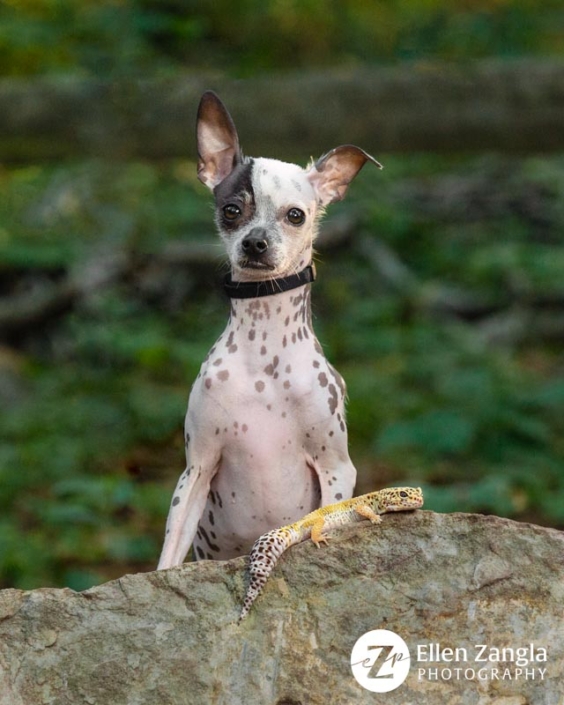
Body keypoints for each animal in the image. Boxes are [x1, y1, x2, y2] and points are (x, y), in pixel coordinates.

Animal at [156, 92, 382, 568]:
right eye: (231, 210)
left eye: (295, 215)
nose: (255, 242)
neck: (264, 355)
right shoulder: (196, 469)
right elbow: (168, 554)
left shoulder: (336, 467)